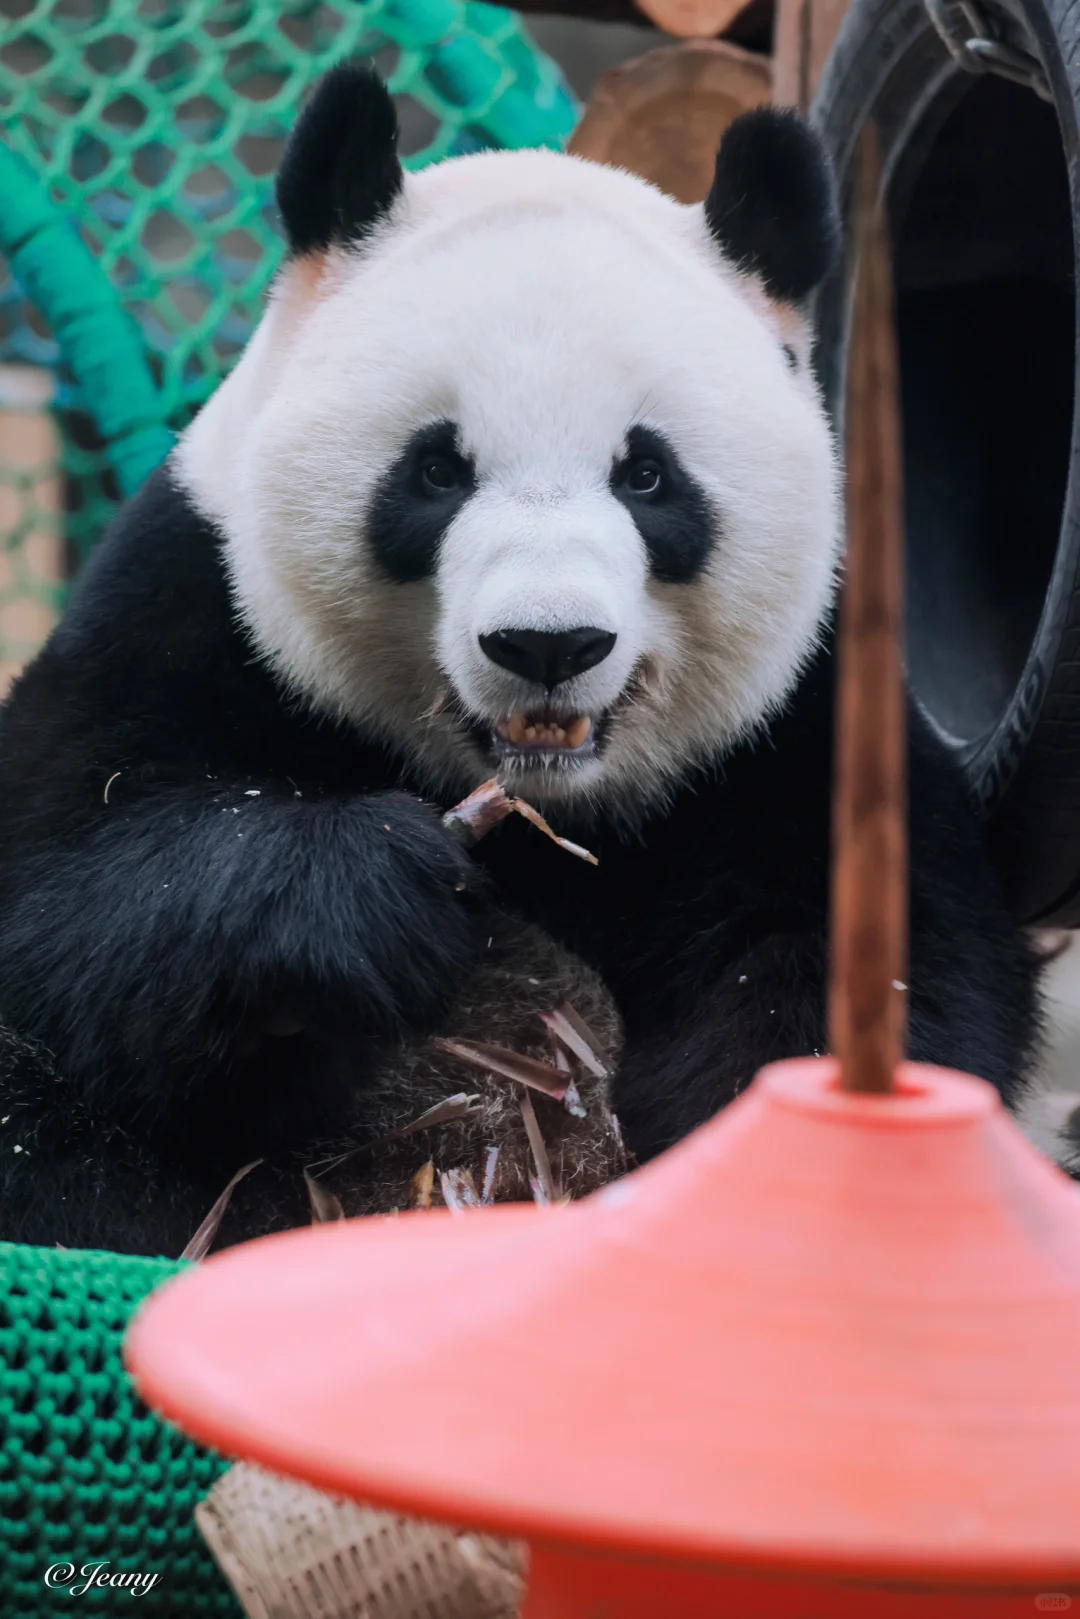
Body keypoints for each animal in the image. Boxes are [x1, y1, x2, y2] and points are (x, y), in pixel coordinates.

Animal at [0, 66, 1036, 1249]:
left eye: (647, 475)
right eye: (437, 470)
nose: (548, 641)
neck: (550, 800)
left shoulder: (794, 722)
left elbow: (866, 964)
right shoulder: (191, 614)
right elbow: (76, 875)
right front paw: (368, 893)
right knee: (49, 1115)